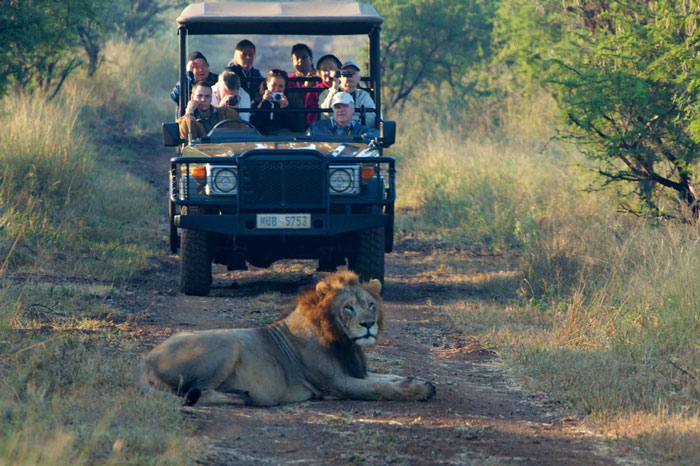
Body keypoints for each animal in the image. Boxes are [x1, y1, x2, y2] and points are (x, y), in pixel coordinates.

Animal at [134, 272, 434, 406]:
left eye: (371, 305)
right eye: (348, 308)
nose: (369, 324)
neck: (345, 342)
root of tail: (145, 362)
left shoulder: (359, 371)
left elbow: (390, 377)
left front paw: (420, 380)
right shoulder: (335, 383)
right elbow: (381, 388)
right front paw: (419, 390)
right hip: (229, 342)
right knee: (200, 393)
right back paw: (242, 398)